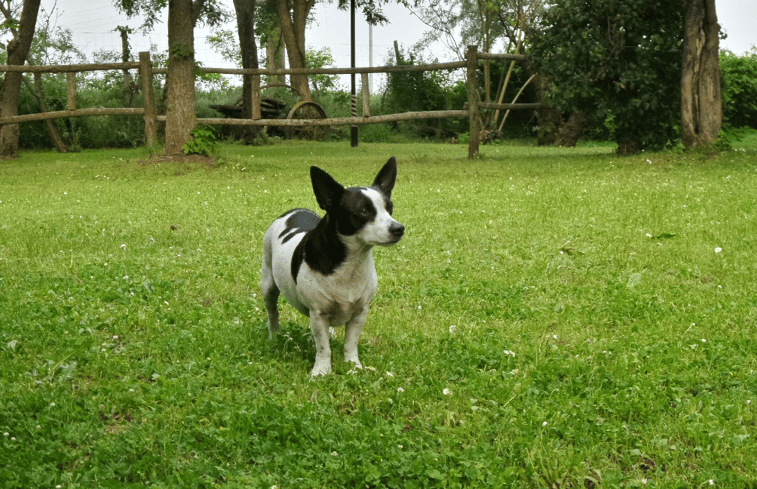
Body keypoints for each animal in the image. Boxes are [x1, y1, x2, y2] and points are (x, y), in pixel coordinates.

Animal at [262, 158, 404, 376]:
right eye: (363, 211)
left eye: (389, 208)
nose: (399, 228)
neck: (350, 263)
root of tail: (292, 211)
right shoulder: (318, 314)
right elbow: (323, 347)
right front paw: (321, 371)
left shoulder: (359, 313)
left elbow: (350, 343)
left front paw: (353, 366)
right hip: (268, 285)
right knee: (272, 312)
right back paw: (274, 335)